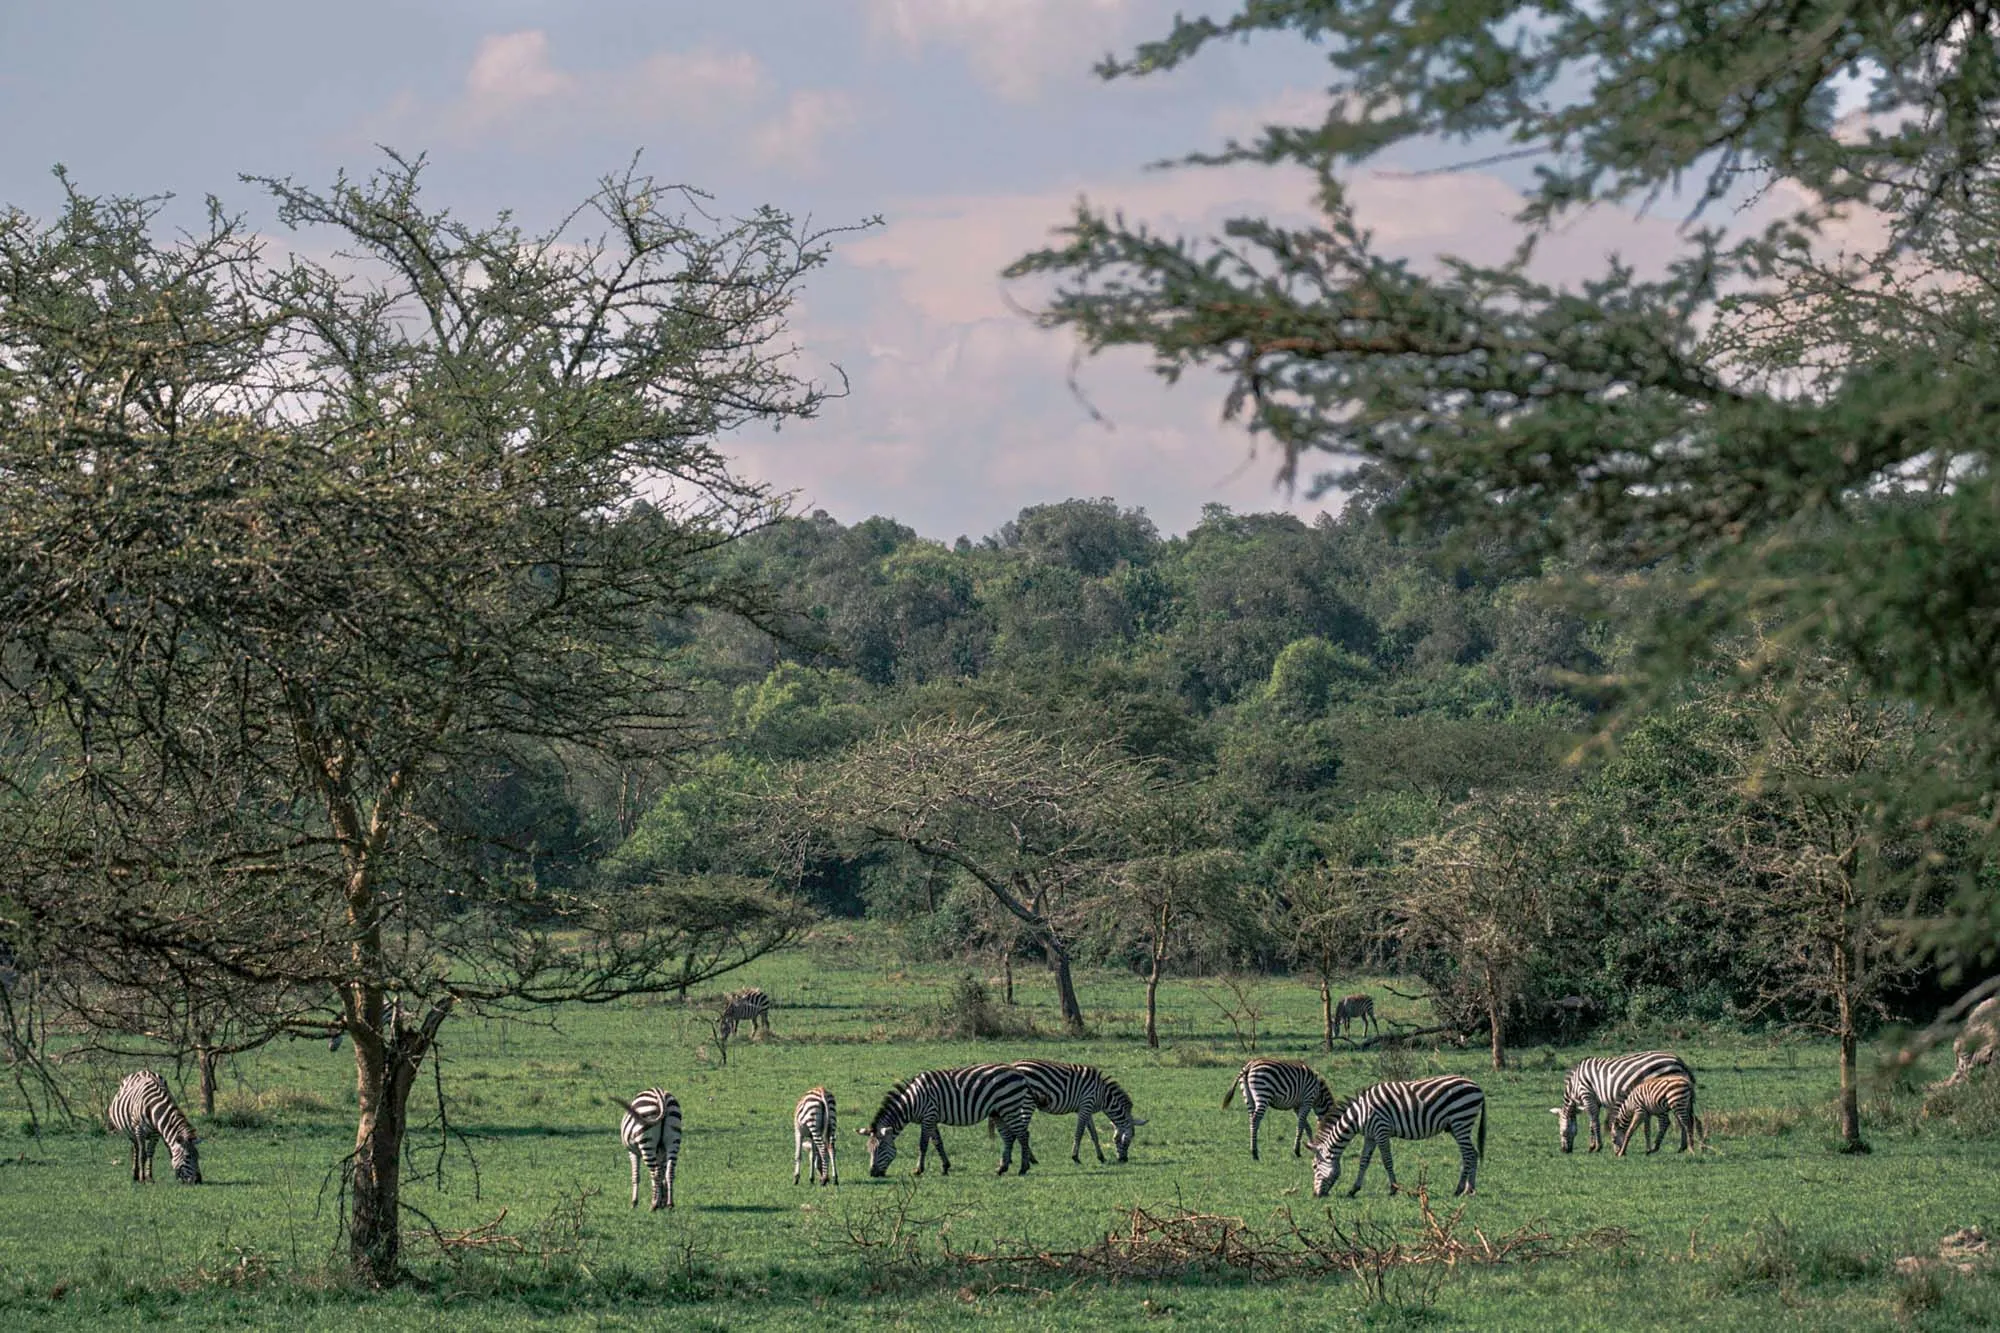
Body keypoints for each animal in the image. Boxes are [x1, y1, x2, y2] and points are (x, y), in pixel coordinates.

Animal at [864, 1056, 1040, 1176]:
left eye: (880, 1148)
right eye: (868, 1150)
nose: (872, 1174)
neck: (913, 1101)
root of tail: (1019, 1072)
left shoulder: (928, 1115)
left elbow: (923, 1144)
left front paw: (918, 1169)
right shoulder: (931, 1118)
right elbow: (937, 1143)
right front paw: (945, 1167)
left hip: (1010, 1106)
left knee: (1023, 1134)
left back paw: (1023, 1168)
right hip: (999, 1112)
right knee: (1009, 1137)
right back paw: (1002, 1168)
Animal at [1008, 1056, 1152, 1160]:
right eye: (1130, 1139)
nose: (1124, 1160)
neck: (1104, 1096)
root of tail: (1013, 1065)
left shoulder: (1088, 1110)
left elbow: (1094, 1134)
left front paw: (1101, 1157)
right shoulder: (1085, 1106)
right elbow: (1079, 1133)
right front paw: (1075, 1157)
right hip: (1026, 1102)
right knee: (1021, 1130)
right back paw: (1031, 1158)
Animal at [1208, 1056, 1336, 1160]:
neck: (1319, 1094)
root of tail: (1250, 1065)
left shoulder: (1297, 1106)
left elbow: (1306, 1126)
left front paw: (1312, 1145)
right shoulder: (1307, 1100)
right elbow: (1301, 1125)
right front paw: (1297, 1151)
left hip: (1248, 1097)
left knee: (1251, 1119)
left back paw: (1252, 1150)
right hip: (1263, 1093)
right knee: (1255, 1119)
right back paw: (1255, 1153)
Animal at [1312, 1072, 1488, 1192]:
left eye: (1314, 1167)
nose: (1316, 1195)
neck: (1360, 1114)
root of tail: (1477, 1086)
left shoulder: (1381, 1130)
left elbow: (1387, 1160)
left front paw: (1393, 1188)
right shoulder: (1370, 1136)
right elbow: (1363, 1161)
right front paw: (1354, 1189)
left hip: (1461, 1121)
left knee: (1468, 1154)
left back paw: (1459, 1189)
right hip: (1456, 1125)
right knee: (1473, 1153)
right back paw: (1470, 1189)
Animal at [1552, 1048, 1696, 1152]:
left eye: (1561, 1132)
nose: (1564, 1150)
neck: (1574, 1085)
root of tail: (1679, 1060)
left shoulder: (1587, 1094)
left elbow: (1594, 1121)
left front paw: (1596, 1147)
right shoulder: (1594, 1100)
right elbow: (1592, 1123)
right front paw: (1593, 1145)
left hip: (1661, 1096)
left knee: (1667, 1121)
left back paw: (1657, 1148)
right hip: (1675, 1098)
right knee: (1681, 1120)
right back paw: (1681, 1147)